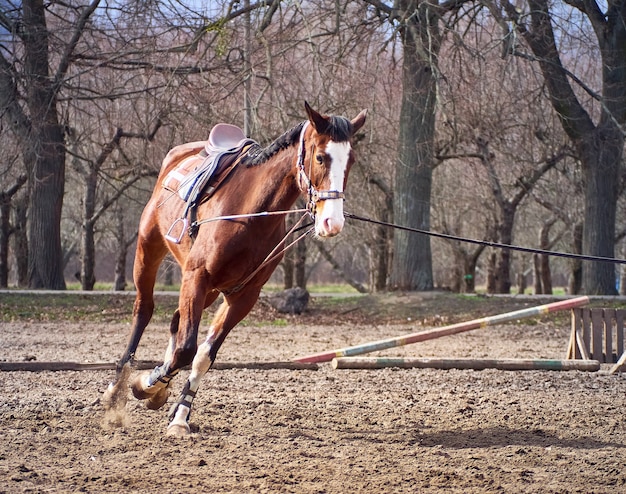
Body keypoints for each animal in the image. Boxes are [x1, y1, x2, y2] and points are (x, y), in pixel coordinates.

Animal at [102, 102, 366, 434]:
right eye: (320, 157)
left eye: (351, 161)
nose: (333, 222)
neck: (250, 214)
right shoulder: (197, 277)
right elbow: (186, 349)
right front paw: (146, 384)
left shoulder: (243, 295)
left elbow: (203, 355)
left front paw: (178, 415)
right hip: (148, 250)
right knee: (144, 311)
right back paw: (117, 389)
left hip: (211, 290)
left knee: (176, 320)